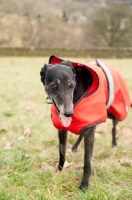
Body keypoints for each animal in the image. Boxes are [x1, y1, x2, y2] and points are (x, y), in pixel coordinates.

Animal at [40, 55, 131, 189]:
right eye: (54, 87)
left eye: (71, 86)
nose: (69, 113)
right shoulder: (63, 129)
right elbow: (62, 154)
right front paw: (58, 171)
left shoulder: (90, 128)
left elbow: (87, 162)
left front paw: (84, 185)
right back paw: (74, 147)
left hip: (115, 112)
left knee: (114, 128)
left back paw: (114, 144)